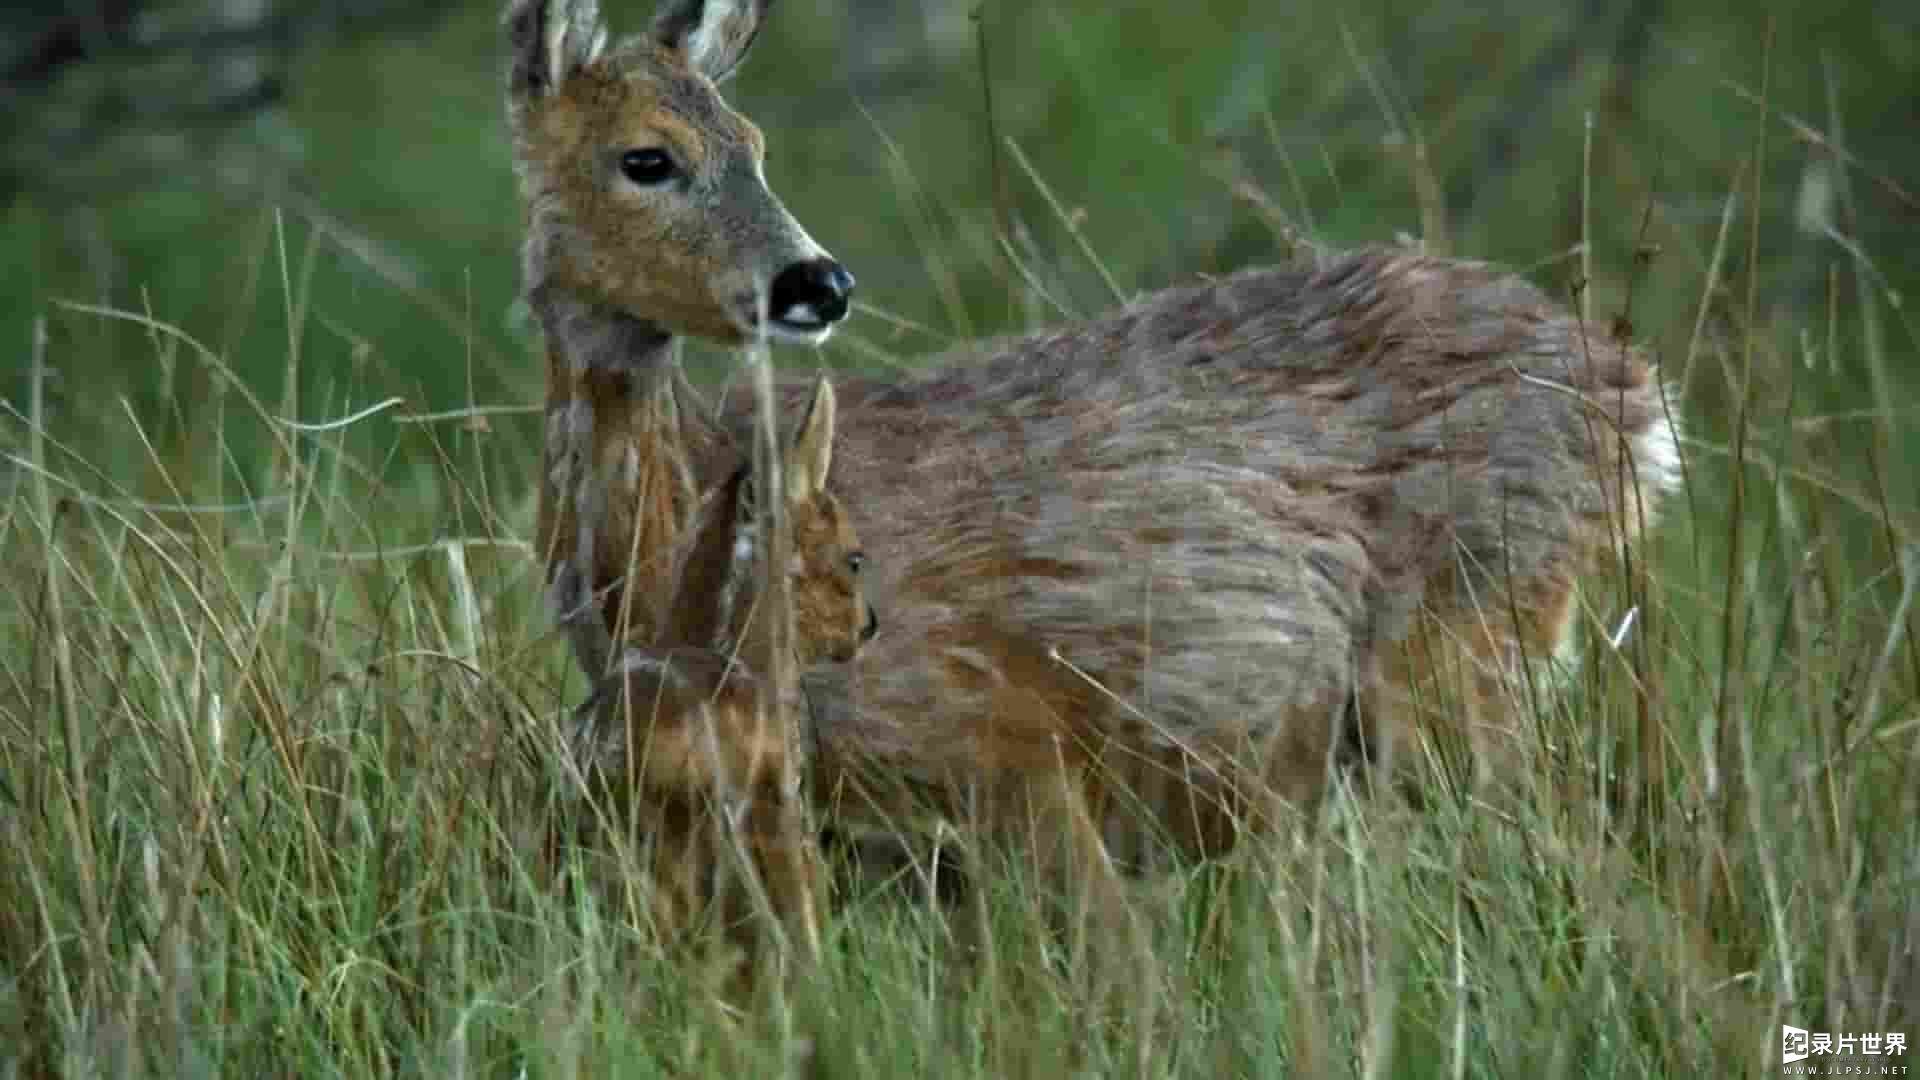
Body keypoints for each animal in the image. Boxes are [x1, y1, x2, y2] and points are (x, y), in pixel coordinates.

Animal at [506, 0, 1681, 899]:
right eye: (646, 158)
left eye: (753, 144)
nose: (818, 282)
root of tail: (1632, 392)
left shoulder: (994, 743)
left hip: (1472, 637)